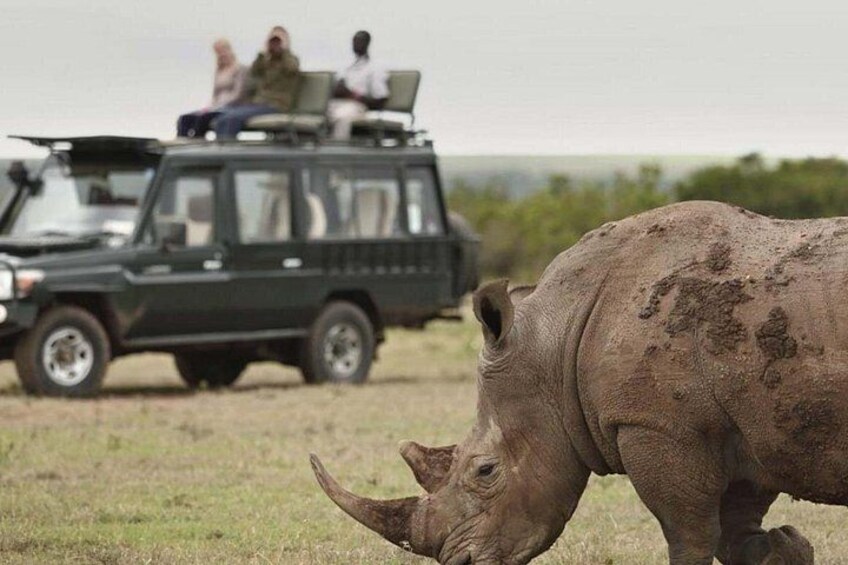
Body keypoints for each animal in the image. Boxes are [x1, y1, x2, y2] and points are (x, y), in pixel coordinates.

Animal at [310, 201, 848, 564]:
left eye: (484, 471)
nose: (458, 563)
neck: (557, 340)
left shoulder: (657, 425)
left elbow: (690, 535)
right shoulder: (750, 427)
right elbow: (738, 533)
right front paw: (787, 547)